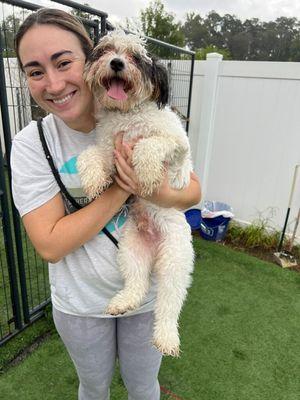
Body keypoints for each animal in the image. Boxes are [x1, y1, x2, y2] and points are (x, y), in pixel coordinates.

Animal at [77, 31, 195, 356]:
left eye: (135, 57)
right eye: (107, 50)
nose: (117, 63)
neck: (128, 115)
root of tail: (155, 250)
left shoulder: (178, 145)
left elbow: (149, 143)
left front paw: (147, 174)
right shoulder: (109, 151)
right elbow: (89, 155)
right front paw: (93, 181)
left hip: (175, 261)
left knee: (169, 304)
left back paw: (166, 337)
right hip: (131, 251)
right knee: (137, 285)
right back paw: (123, 302)